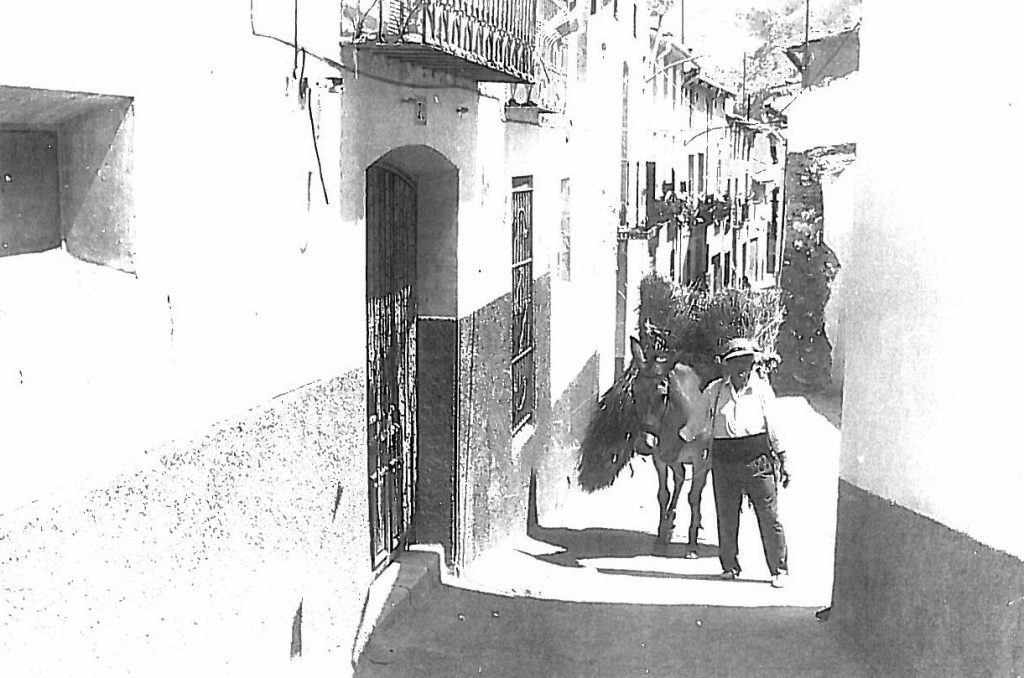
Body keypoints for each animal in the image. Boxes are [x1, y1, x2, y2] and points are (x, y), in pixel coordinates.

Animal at [628, 335, 713, 555]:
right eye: (634, 392)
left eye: (662, 394)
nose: (644, 444)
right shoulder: (659, 457)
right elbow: (663, 494)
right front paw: (660, 535)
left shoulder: (701, 458)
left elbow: (694, 497)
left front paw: (692, 544)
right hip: (673, 457)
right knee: (680, 477)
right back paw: (669, 524)